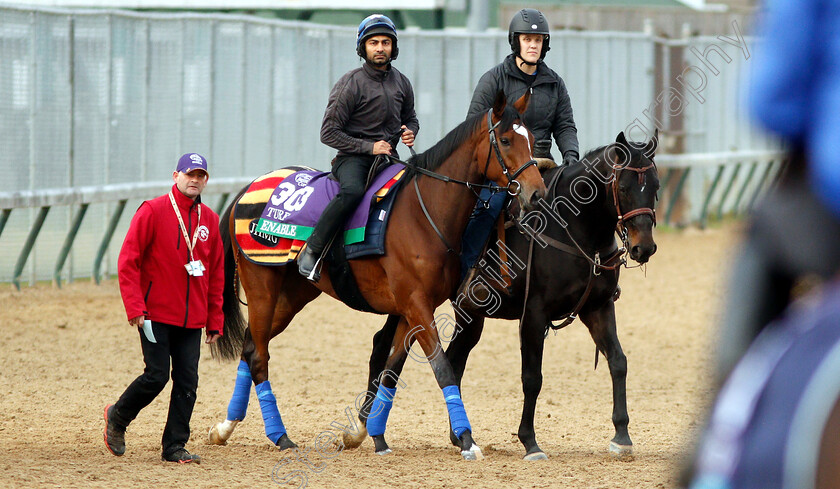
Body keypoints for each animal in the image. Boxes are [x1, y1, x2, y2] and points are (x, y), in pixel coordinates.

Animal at [208, 92, 548, 462]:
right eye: (506, 140)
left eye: (531, 139)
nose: (536, 193)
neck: (424, 213)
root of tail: (246, 190)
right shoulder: (417, 306)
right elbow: (442, 367)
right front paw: (467, 438)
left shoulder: (410, 311)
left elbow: (391, 371)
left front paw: (372, 436)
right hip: (261, 287)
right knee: (259, 356)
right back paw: (280, 436)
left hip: (291, 295)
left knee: (250, 346)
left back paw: (225, 428)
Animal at [344, 129, 660, 458]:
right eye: (623, 187)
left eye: (656, 187)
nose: (644, 247)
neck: (571, 226)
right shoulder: (534, 314)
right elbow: (532, 378)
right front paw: (530, 441)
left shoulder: (598, 307)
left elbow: (618, 362)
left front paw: (622, 435)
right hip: (412, 303)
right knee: (384, 347)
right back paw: (363, 427)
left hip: (468, 316)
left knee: (451, 359)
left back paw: (455, 435)